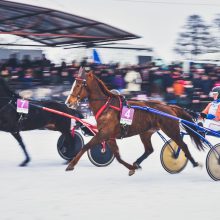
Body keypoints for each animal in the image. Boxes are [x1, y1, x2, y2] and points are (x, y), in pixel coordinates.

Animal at [65, 69, 205, 174]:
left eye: (78, 85)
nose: (68, 102)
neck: (106, 106)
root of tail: (170, 107)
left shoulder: (103, 133)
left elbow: (86, 146)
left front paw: (71, 164)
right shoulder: (109, 136)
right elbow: (118, 156)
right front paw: (131, 168)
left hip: (171, 130)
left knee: (183, 145)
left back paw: (194, 163)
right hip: (146, 132)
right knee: (149, 150)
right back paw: (137, 163)